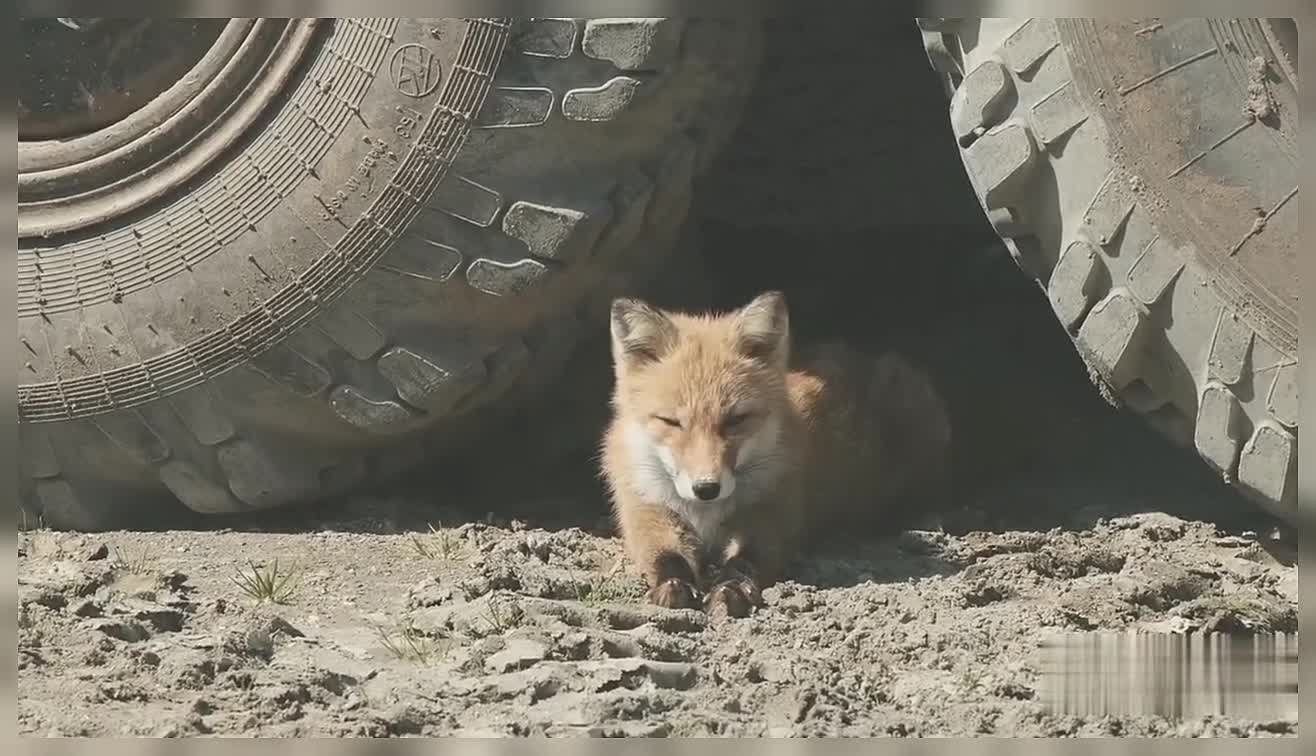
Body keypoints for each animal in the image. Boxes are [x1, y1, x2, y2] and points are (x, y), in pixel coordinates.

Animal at [602, 293, 952, 619]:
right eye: (671, 422)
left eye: (735, 420)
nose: (706, 489)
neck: (707, 516)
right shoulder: (645, 511)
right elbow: (665, 557)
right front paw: (672, 586)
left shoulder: (772, 512)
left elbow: (745, 562)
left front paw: (731, 589)